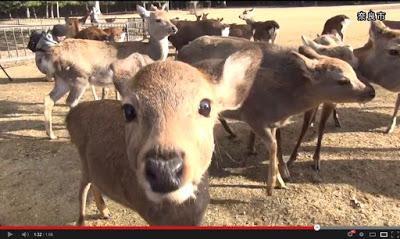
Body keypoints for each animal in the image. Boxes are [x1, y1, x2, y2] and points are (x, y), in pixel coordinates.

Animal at [43, 4, 177, 140]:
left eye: (168, 16)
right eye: (158, 19)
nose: (174, 28)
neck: (149, 55)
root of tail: (52, 56)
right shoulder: (125, 77)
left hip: (62, 80)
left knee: (49, 99)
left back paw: (51, 135)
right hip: (79, 77)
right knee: (71, 101)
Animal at [65, 47, 262, 226]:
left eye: (205, 106)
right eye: (128, 110)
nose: (164, 170)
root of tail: (71, 115)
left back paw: (105, 212)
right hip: (83, 164)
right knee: (82, 188)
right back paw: (82, 221)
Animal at [177, 36, 376, 196]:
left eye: (354, 70)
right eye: (343, 80)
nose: (371, 91)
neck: (282, 99)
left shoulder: (271, 123)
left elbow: (275, 144)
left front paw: (280, 181)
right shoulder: (254, 117)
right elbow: (273, 145)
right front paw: (271, 185)